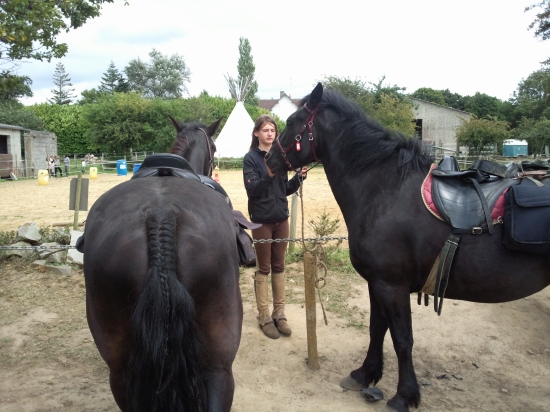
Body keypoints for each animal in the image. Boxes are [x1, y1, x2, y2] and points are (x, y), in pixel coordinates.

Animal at [266, 82, 548, 410]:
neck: (386, 189)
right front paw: (365, 375)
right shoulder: (376, 283)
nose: (269, 160)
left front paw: (404, 395)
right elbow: (377, 329)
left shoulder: (392, 286)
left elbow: (402, 340)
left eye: (291, 122)